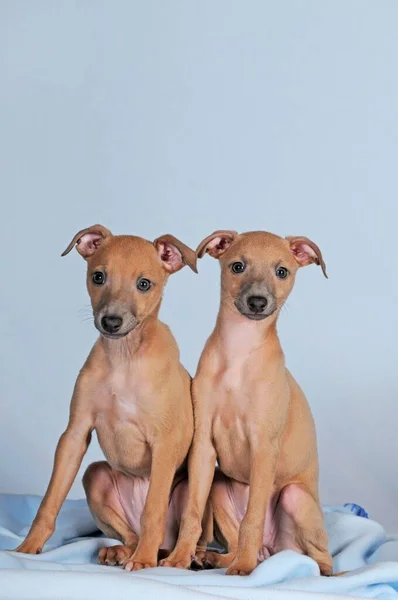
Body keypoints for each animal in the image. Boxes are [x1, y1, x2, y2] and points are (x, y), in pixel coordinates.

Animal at [15, 225, 197, 572]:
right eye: (98, 277)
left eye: (144, 284)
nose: (111, 322)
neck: (123, 358)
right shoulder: (74, 434)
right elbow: (49, 501)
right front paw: (27, 549)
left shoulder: (165, 443)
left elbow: (153, 509)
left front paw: (143, 562)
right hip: (95, 476)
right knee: (130, 533)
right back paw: (122, 551)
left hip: (188, 484)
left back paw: (171, 555)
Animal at [162, 230, 332, 576]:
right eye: (237, 266)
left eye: (282, 271)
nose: (257, 302)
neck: (239, 352)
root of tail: (273, 550)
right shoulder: (203, 445)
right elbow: (191, 512)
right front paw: (179, 557)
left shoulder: (264, 446)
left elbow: (252, 518)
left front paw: (243, 567)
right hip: (218, 487)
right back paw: (218, 558)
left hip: (295, 497)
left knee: (321, 557)